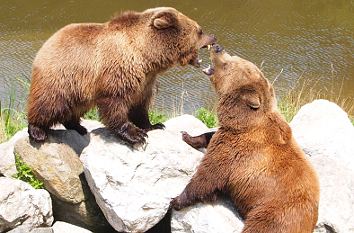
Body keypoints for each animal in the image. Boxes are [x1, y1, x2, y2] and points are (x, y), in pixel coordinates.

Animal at [27, 6, 216, 144]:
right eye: (200, 30)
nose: (213, 37)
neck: (147, 55)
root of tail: (48, 42)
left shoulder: (145, 80)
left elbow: (140, 105)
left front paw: (154, 125)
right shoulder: (118, 70)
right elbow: (115, 103)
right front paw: (136, 134)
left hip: (79, 88)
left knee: (75, 106)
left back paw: (79, 127)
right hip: (62, 75)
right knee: (49, 103)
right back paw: (37, 131)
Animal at [170, 44, 320, 232]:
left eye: (228, 63)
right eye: (234, 57)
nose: (217, 47)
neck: (243, 119)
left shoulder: (235, 152)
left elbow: (207, 177)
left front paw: (175, 200)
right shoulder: (228, 134)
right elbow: (210, 136)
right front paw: (187, 135)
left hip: (273, 214)